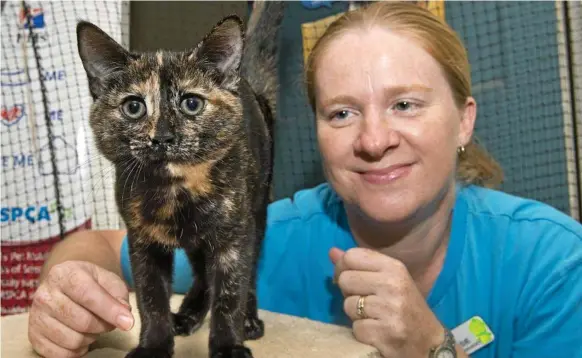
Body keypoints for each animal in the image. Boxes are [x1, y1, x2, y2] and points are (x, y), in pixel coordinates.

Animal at [76, 2, 286, 356]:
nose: (162, 137)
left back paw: (248, 319)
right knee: (202, 272)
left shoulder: (235, 235)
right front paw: (154, 345)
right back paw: (188, 313)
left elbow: (231, 291)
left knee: (249, 267)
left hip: (257, 210)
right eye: (134, 107)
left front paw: (229, 345)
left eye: (191, 103)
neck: (176, 190)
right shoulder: (142, 240)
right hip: (197, 240)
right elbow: (151, 298)